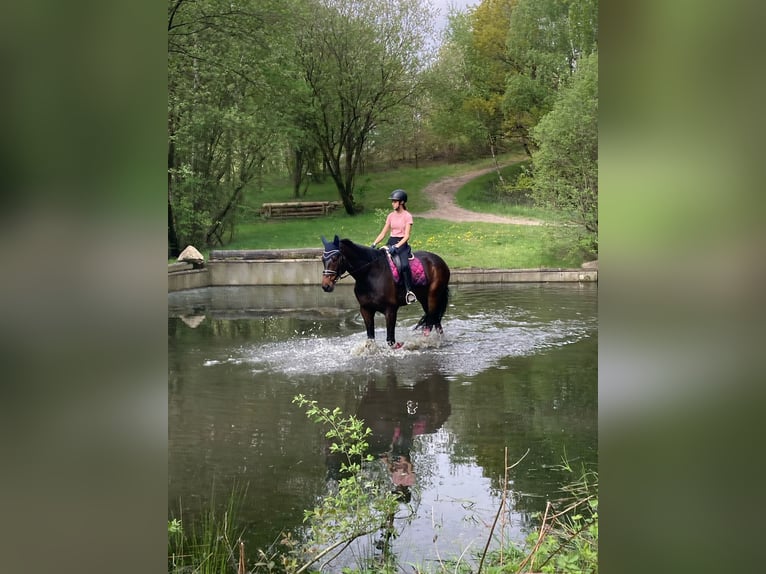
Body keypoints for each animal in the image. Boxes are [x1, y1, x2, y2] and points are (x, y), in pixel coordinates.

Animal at [322, 236, 450, 348]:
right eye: (323, 259)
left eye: (335, 258)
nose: (325, 286)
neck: (370, 274)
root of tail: (440, 260)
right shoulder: (365, 309)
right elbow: (370, 339)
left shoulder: (390, 310)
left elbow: (390, 340)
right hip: (424, 298)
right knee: (435, 321)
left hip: (433, 296)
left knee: (431, 321)